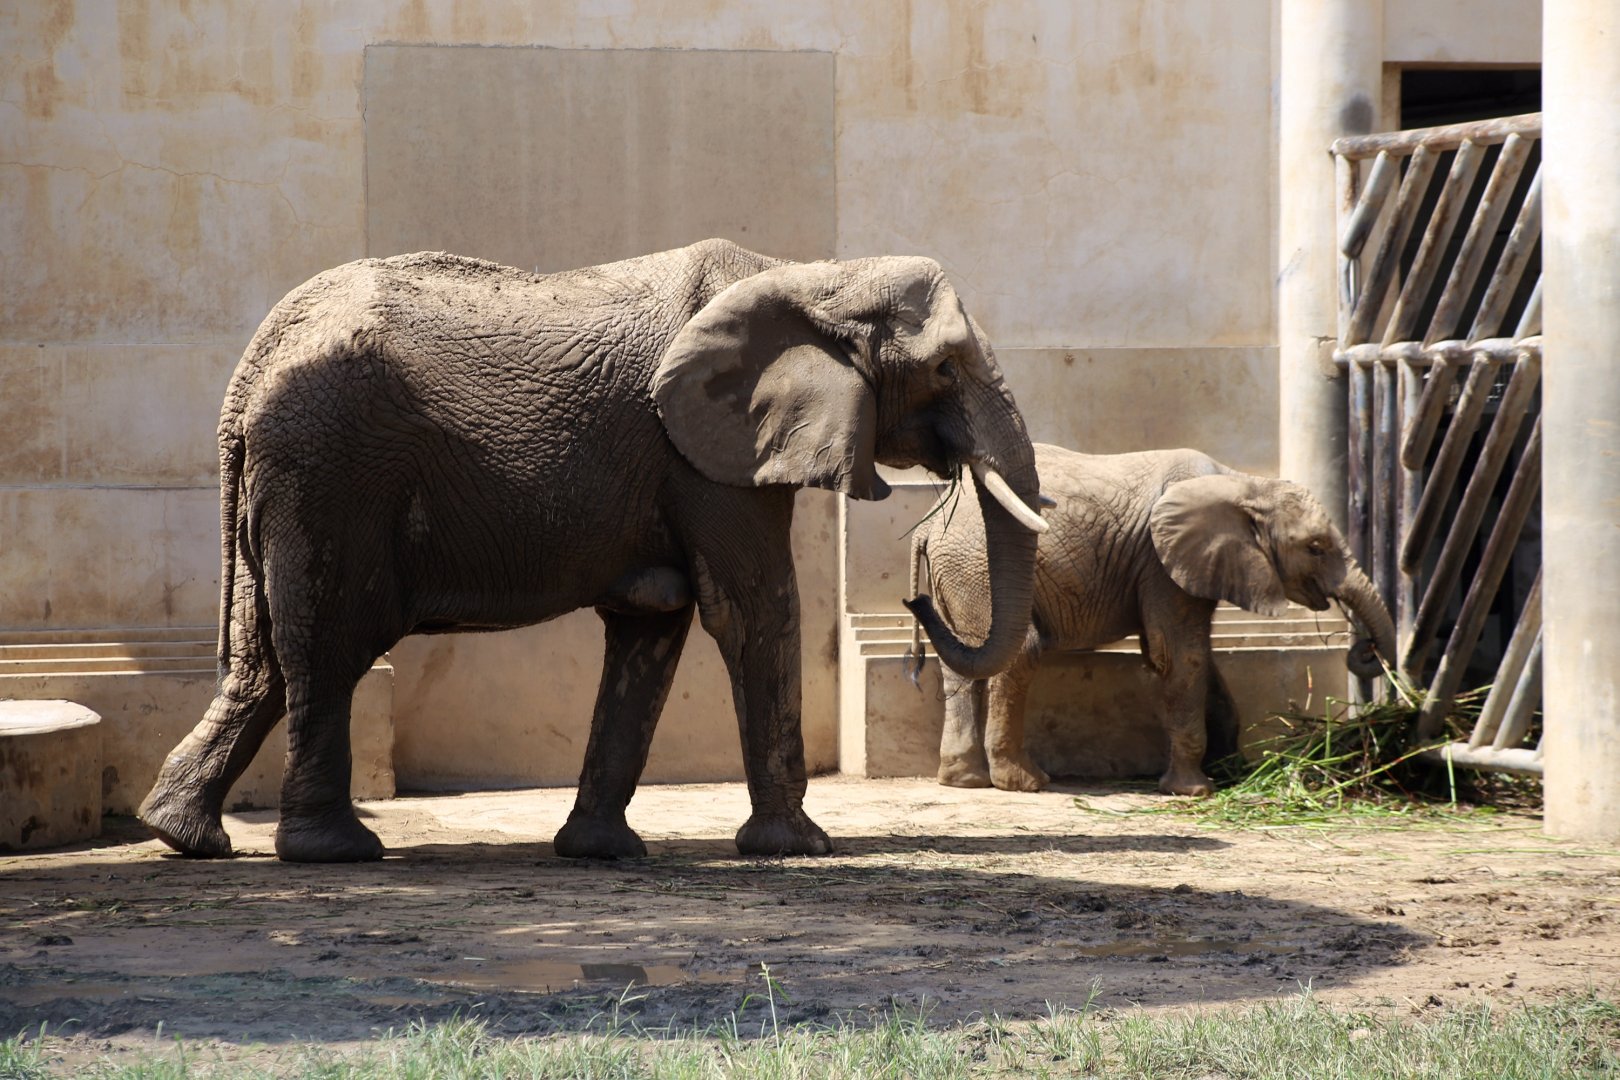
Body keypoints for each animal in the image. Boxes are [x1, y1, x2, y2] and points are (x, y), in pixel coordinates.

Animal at [138, 238, 1049, 864]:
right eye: (944, 368)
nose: (915, 594)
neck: (813, 273)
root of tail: (252, 364)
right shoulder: (702, 456)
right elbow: (751, 611)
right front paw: (799, 848)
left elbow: (655, 623)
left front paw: (601, 852)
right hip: (333, 471)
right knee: (327, 647)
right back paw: (337, 853)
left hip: (293, 479)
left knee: (264, 658)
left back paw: (183, 836)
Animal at [906, 444, 1397, 796]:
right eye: (1315, 547)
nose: (1365, 649)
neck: (1244, 483)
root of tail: (927, 527)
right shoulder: (1161, 561)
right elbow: (1177, 656)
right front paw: (1194, 791)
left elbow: (1198, 659)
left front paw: (1231, 770)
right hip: (979, 568)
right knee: (1019, 655)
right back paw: (1026, 783)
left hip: (961, 575)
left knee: (964, 662)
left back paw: (964, 780)